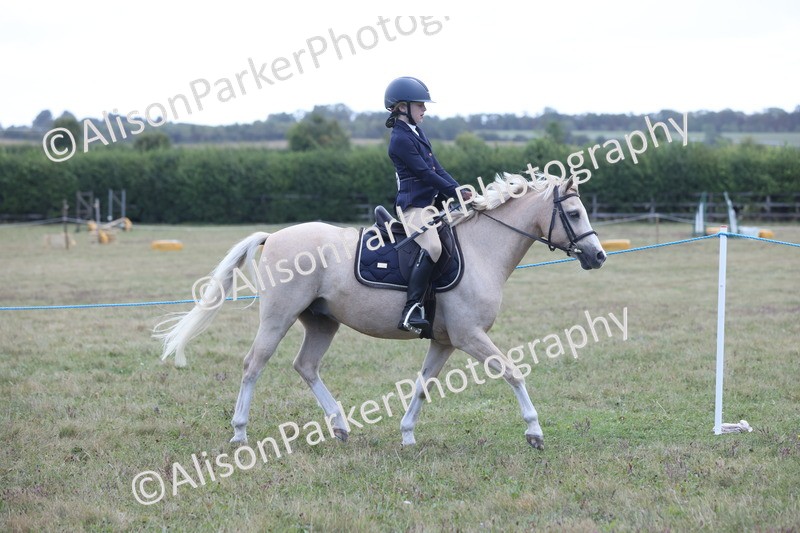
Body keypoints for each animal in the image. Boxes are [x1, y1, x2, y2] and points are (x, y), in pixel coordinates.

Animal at [153, 172, 606, 450]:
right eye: (573, 213)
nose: (598, 256)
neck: (482, 248)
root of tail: (275, 235)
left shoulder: (445, 341)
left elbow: (423, 385)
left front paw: (406, 435)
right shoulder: (470, 336)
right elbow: (513, 371)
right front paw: (535, 431)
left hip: (322, 321)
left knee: (305, 366)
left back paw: (339, 426)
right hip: (278, 317)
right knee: (253, 365)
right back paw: (240, 434)